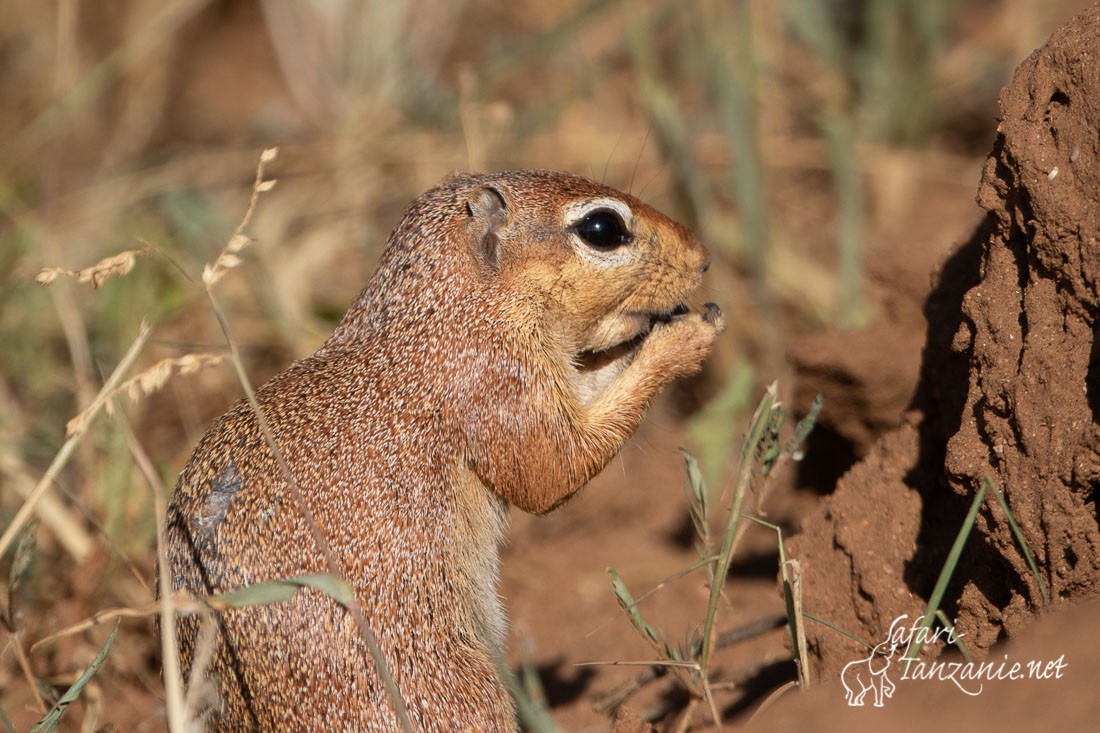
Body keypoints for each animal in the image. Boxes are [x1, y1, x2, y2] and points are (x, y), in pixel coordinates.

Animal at [162, 169, 726, 726]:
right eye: (603, 228)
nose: (704, 256)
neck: (450, 309)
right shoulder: (497, 381)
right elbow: (551, 470)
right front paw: (683, 339)